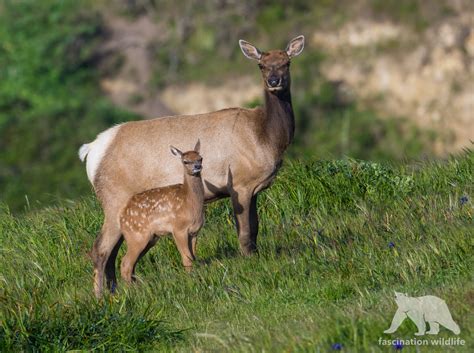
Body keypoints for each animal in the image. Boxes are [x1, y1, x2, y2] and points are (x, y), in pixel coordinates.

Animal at [118, 142, 204, 282]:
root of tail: (121, 218)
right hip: (136, 236)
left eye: (200, 158)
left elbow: (193, 256)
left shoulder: (195, 232)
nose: (197, 167)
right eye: (185, 161)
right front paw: (190, 279)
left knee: (131, 263)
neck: (189, 203)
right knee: (126, 263)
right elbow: (187, 259)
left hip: (151, 239)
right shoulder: (178, 229)